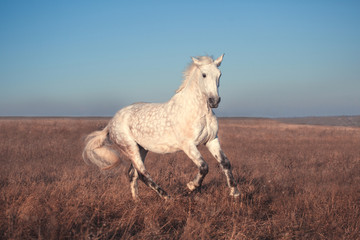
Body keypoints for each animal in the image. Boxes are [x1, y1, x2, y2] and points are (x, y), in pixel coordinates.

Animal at [81, 54, 239, 201]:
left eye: (219, 74)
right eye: (204, 74)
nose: (214, 101)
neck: (198, 111)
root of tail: (111, 123)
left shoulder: (211, 140)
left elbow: (225, 163)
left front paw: (235, 193)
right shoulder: (188, 145)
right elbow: (204, 167)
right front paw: (191, 186)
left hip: (142, 148)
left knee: (132, 174)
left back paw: (137, 201)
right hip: (130, 148)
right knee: (143, 174)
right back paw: (167, 197)